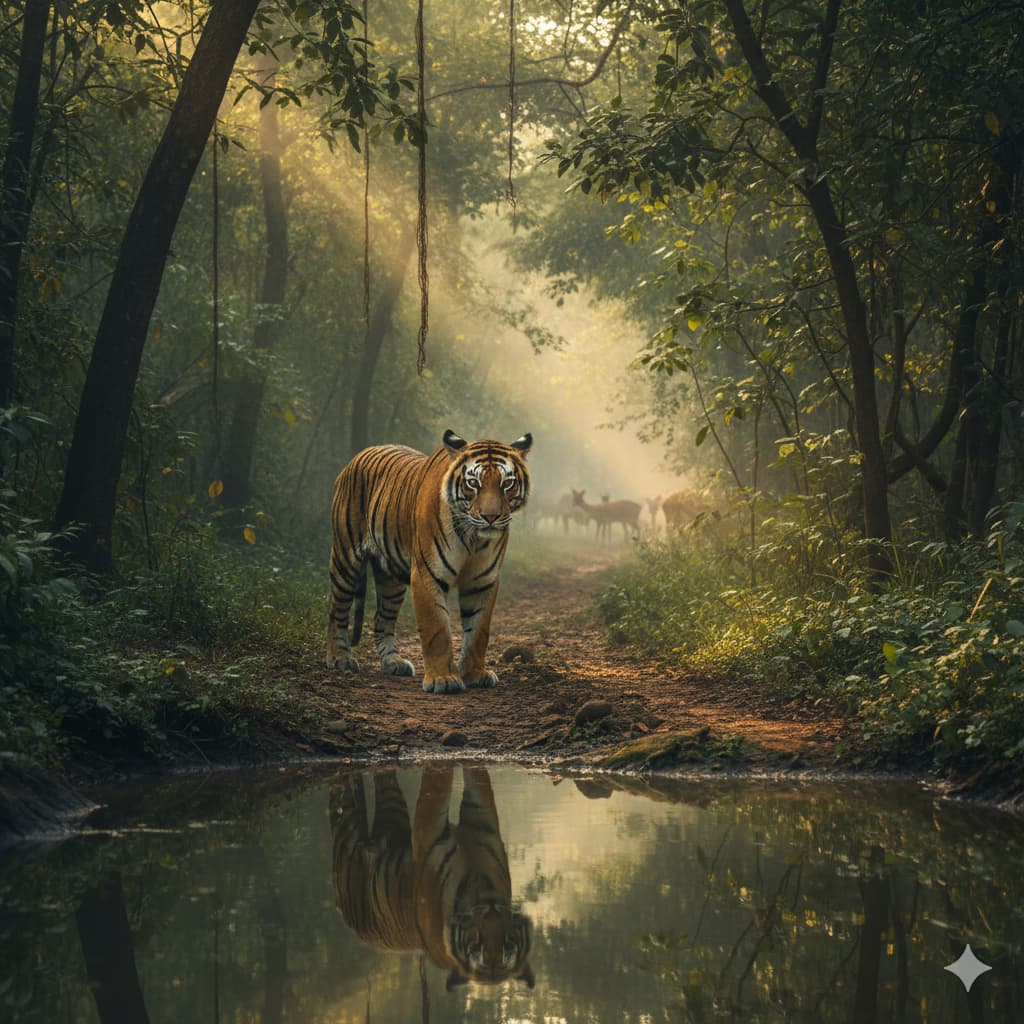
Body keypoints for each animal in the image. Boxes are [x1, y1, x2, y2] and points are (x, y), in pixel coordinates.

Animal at [326, 429, 532, 693]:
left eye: (507, 483)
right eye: (473, 483)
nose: (491, 517)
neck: (473, 537)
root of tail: (358, 456)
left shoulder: (483, 580)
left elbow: (478, 631)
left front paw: (475, 674)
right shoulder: (427, 574)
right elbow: (437, 629)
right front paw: (443, 679)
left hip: (391, 579)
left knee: (382, 618)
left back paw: (393, 662)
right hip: (345, 558)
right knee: (337, 610)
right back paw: (340, 659)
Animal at [330, 766, 535, 990]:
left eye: (508, 948)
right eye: (476, 949)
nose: (491, 918)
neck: (480, 886)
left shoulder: (481, 814)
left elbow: (478, 779)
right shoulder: (429, 830)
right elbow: (438, 784)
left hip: (393, 807)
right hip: (347, 826)